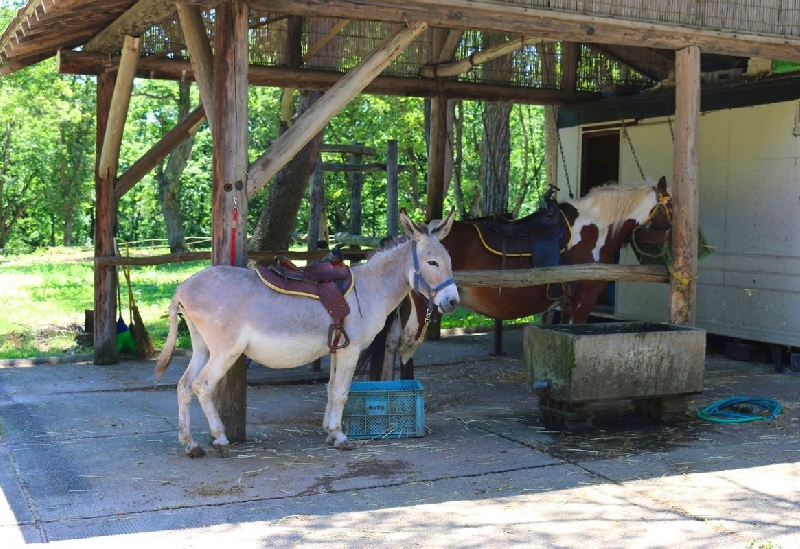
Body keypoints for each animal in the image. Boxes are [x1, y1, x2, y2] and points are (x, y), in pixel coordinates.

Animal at [156, 209, 460, 454]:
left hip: (202, 347)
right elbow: (342, 392)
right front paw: (340, 437)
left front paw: (329, 431)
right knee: (202, 385)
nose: (453, 302)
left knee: (184, 385)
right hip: (225, 351)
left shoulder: (338, 348)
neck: (369, 289)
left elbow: (331, 388)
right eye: (432, 263)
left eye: (449, 260)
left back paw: (190, 444)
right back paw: (219, 440)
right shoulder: (351, 350)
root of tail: (183, 287)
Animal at [366, 178, 672, 378]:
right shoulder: (584, 298)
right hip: (421, 307)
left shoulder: (567, 302)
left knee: (392, 344)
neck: (592, 230)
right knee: (407, 345)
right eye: (671, 207)